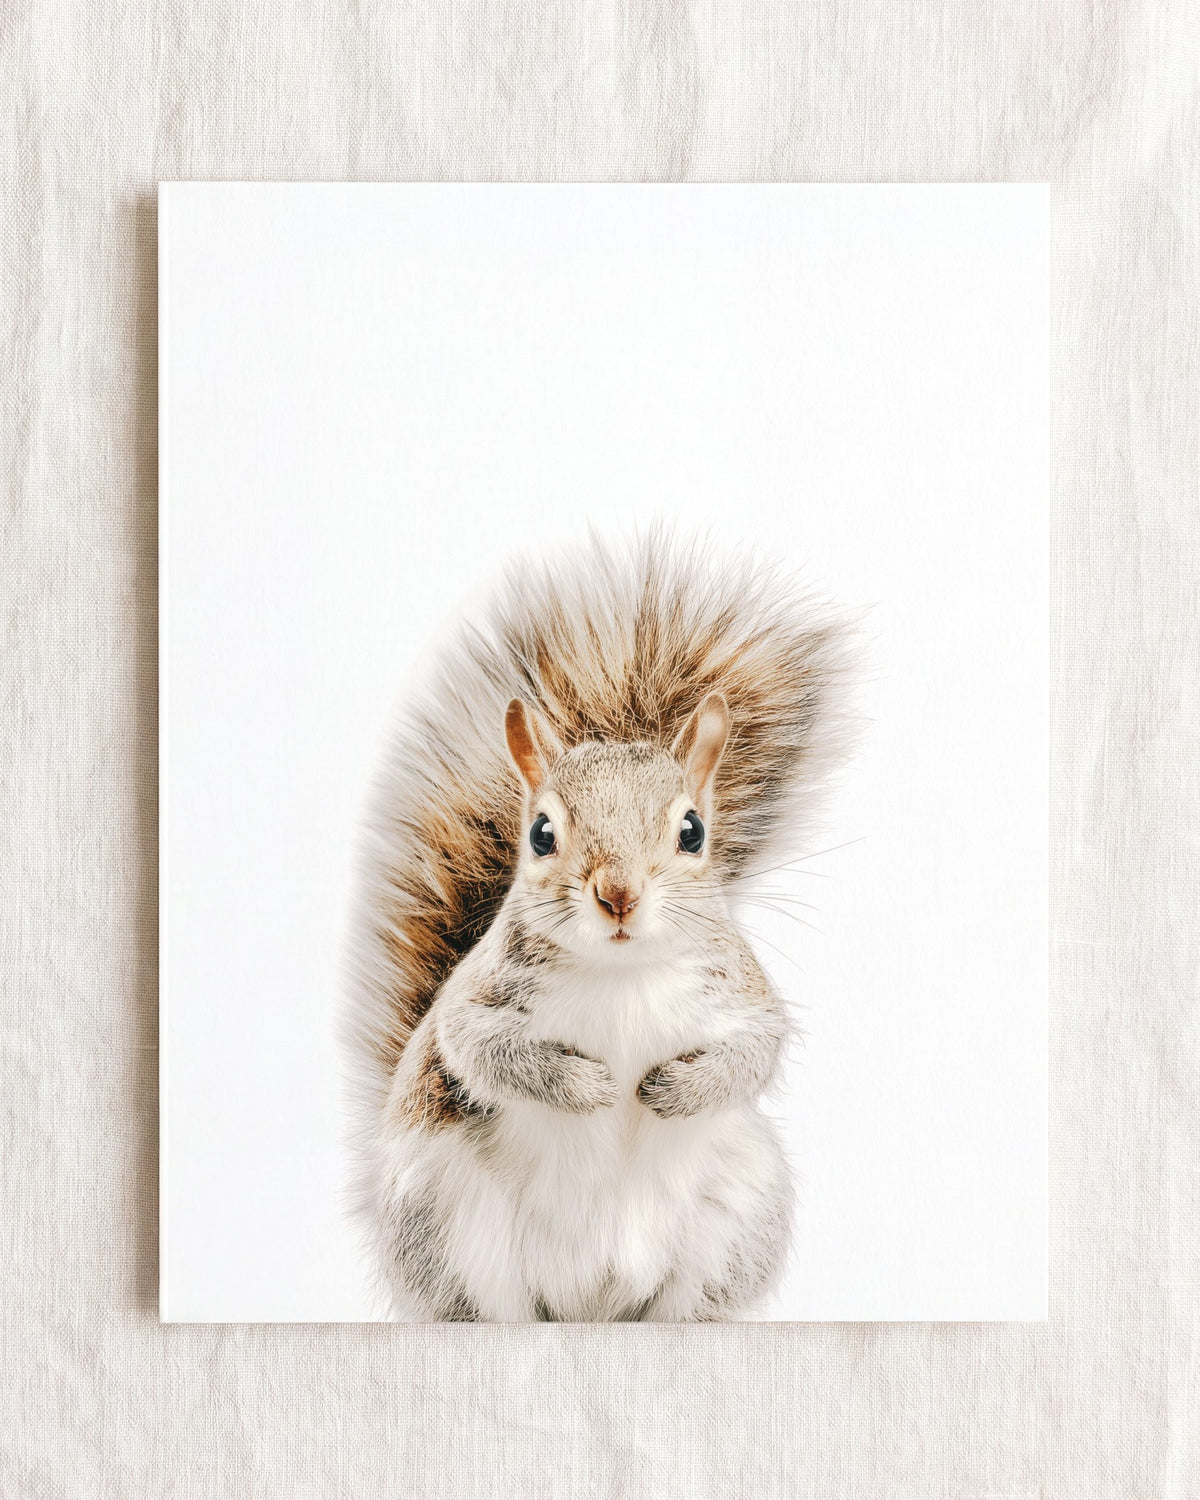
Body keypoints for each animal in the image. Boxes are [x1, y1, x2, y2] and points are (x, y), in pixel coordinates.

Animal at [343, 532, 856, 1321]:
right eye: (541, 834)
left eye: (693, 831)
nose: (618, 894)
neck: (621, 974)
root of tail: (593, 1304)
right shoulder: (476, 1000)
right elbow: (481, 1048)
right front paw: (588, 1088)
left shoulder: (741, 994)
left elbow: (755, 1052)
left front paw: (671, 1091)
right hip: (444, 1221)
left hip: (738, 1214)